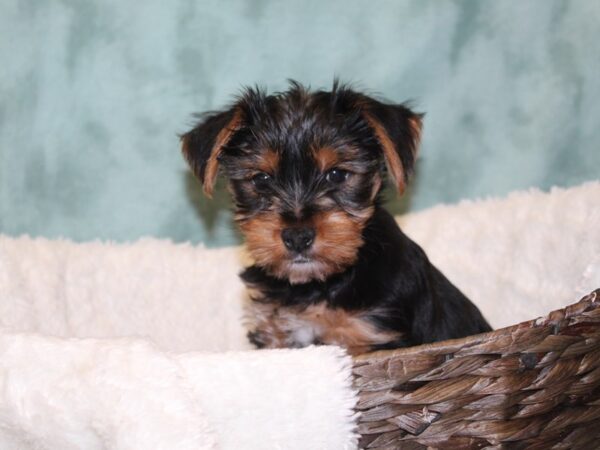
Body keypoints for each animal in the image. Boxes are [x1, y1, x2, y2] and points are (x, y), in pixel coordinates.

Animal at [180, 81, 490, 356]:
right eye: (261, 179)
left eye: (337, 174)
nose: (297, 236)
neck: (317, 286)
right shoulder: (276, 333)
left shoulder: (369, 336)